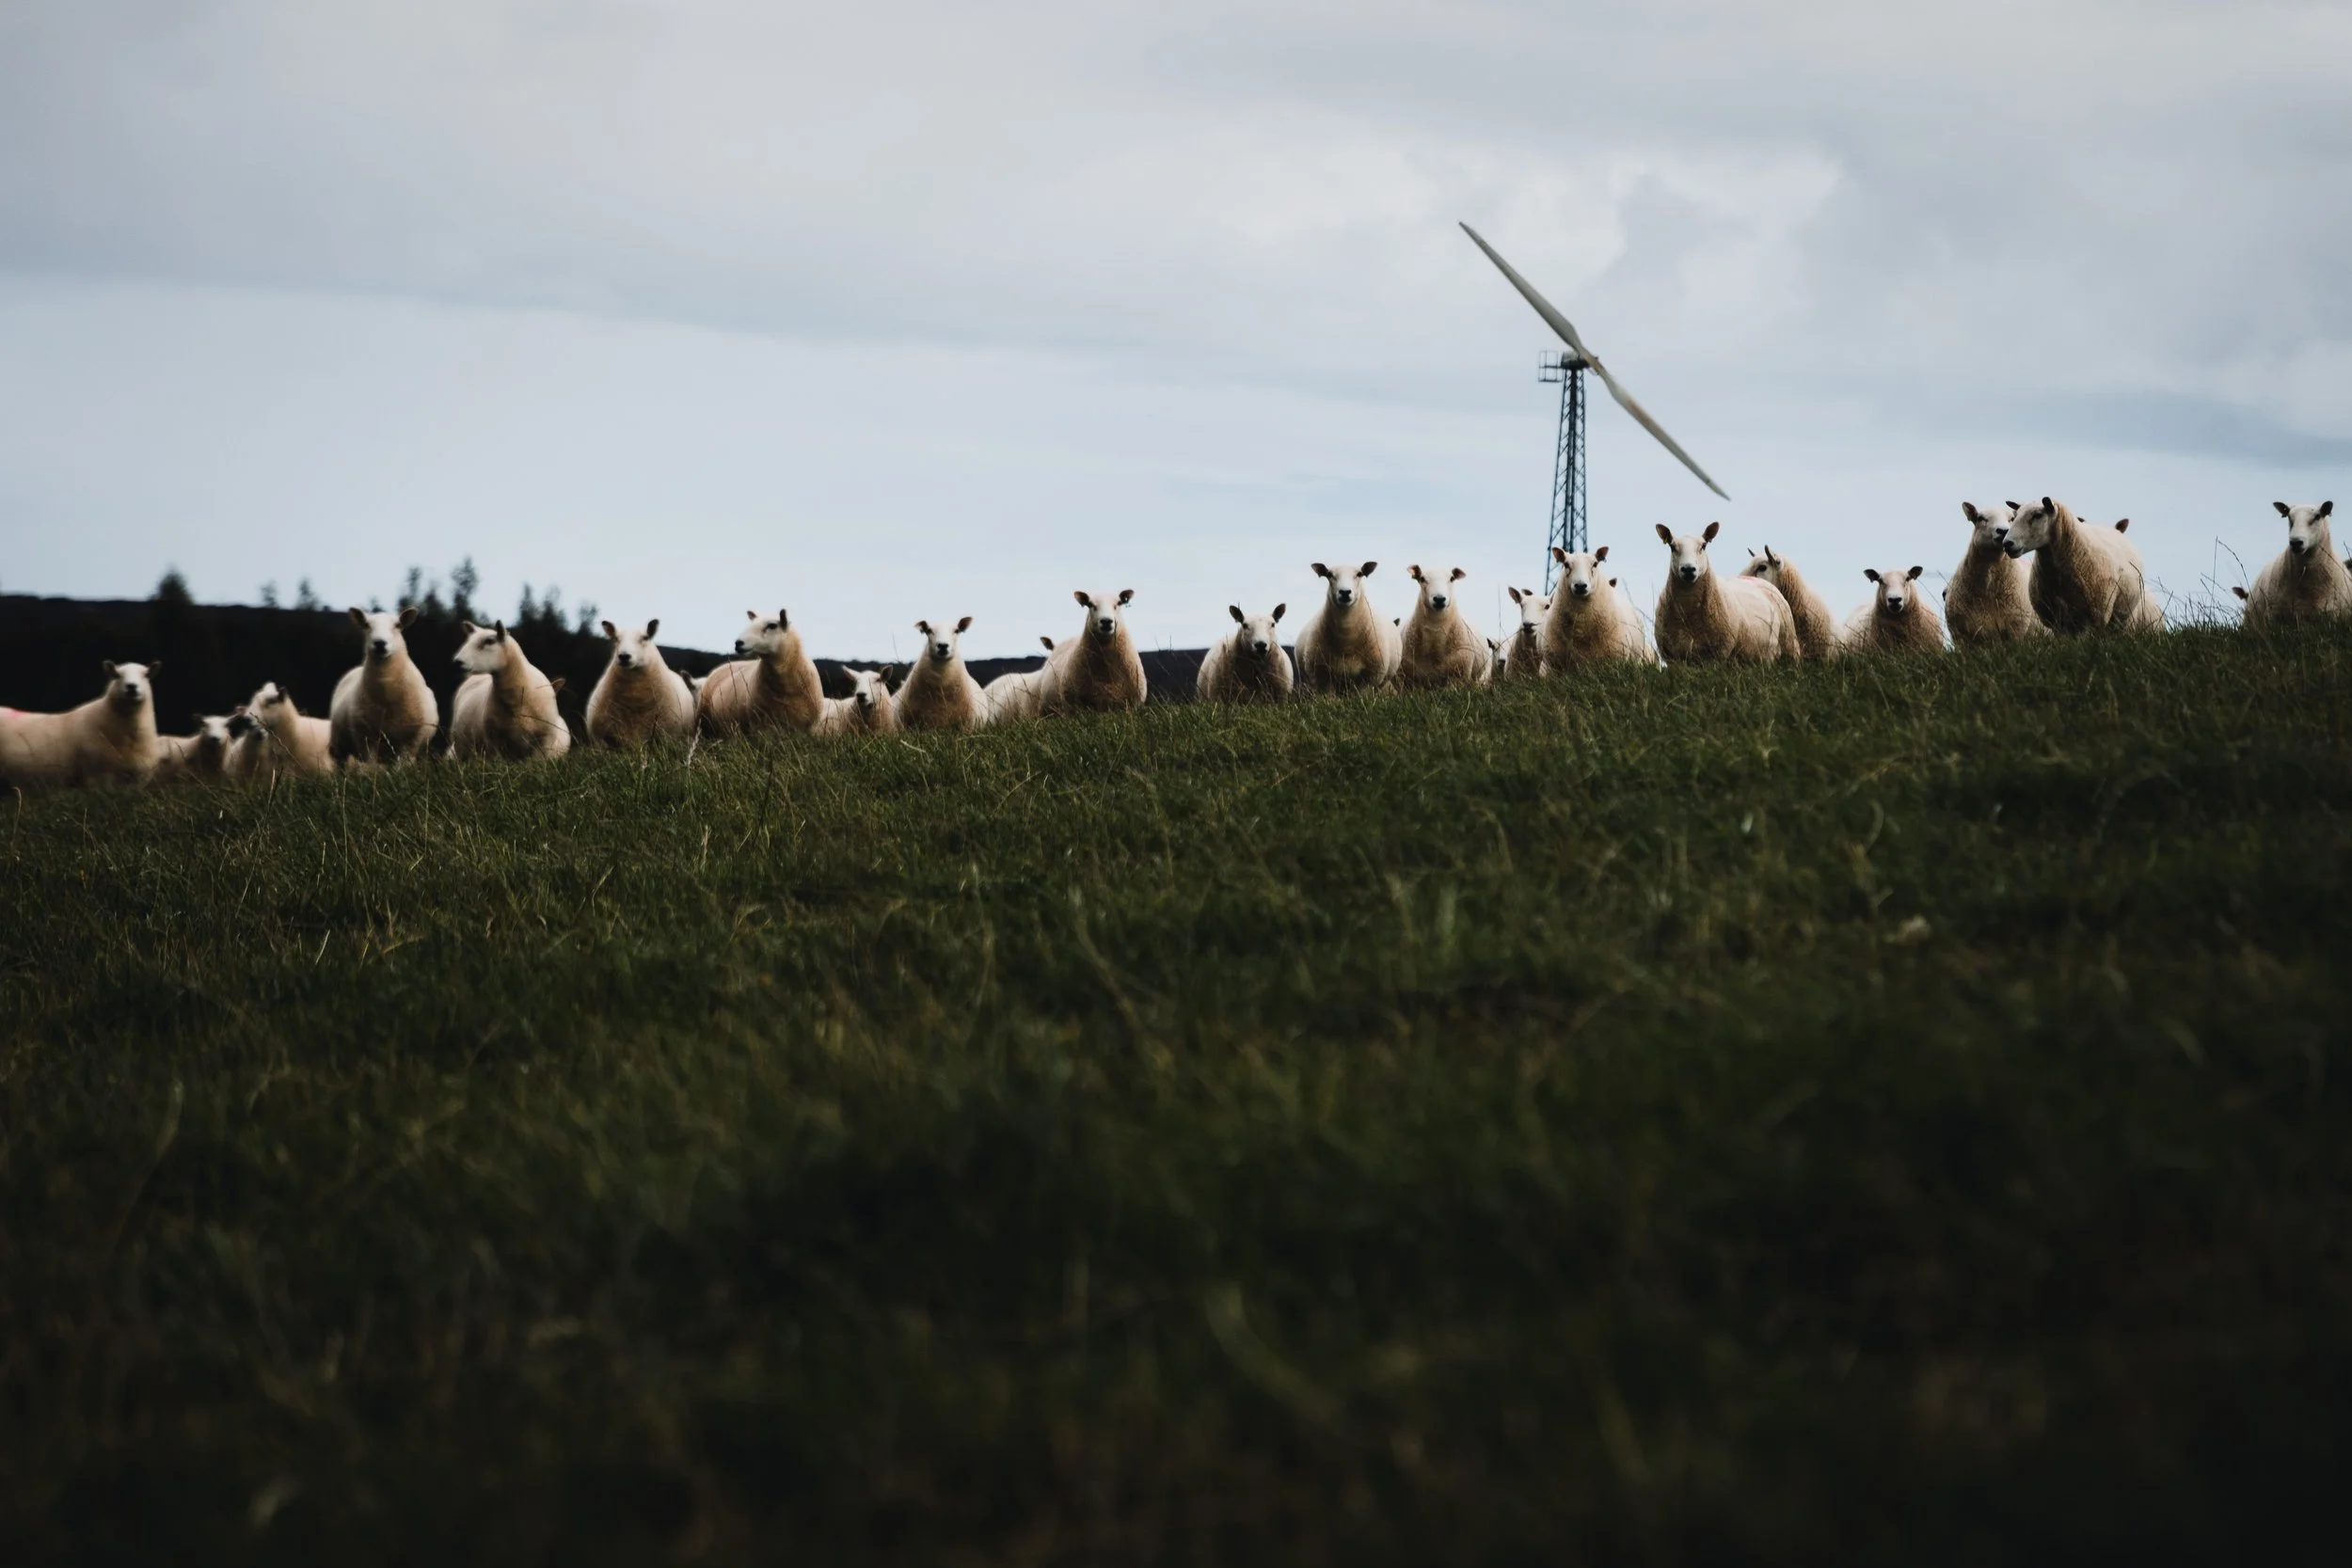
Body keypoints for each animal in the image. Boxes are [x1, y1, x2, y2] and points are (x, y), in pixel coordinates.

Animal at [329, 607, 439, 764]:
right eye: (367, 625)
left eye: (397, 625)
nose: (380, 643)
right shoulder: (366, 739)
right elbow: (371, 767)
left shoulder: (412, 740)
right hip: (339, 746)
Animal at [586, 619, 697, 749]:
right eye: (616, 638)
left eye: (645, 638)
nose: (624, 656)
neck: (634, 698)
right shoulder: (602, 739)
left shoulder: (667, 737)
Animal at [1294, 562, 1402, 695]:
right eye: (1329, 574)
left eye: (1359, 574)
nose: (1345, 592)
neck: (1346, 641)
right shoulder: (1322, 674)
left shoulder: (1370, 675)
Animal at [1652, 523, 1799, 664]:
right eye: (1672, 546)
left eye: (1703, 546)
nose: (1688, 569)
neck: (1689, 616)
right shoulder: (1674, 658)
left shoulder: (1718, 654)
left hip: (1789, 646)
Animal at [2003, 497, 2164, 634]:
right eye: (2014, 517)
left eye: (2037, 515)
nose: (2007, 543)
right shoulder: (2056, 621)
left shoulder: (2093, 616)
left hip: (2122, 615)